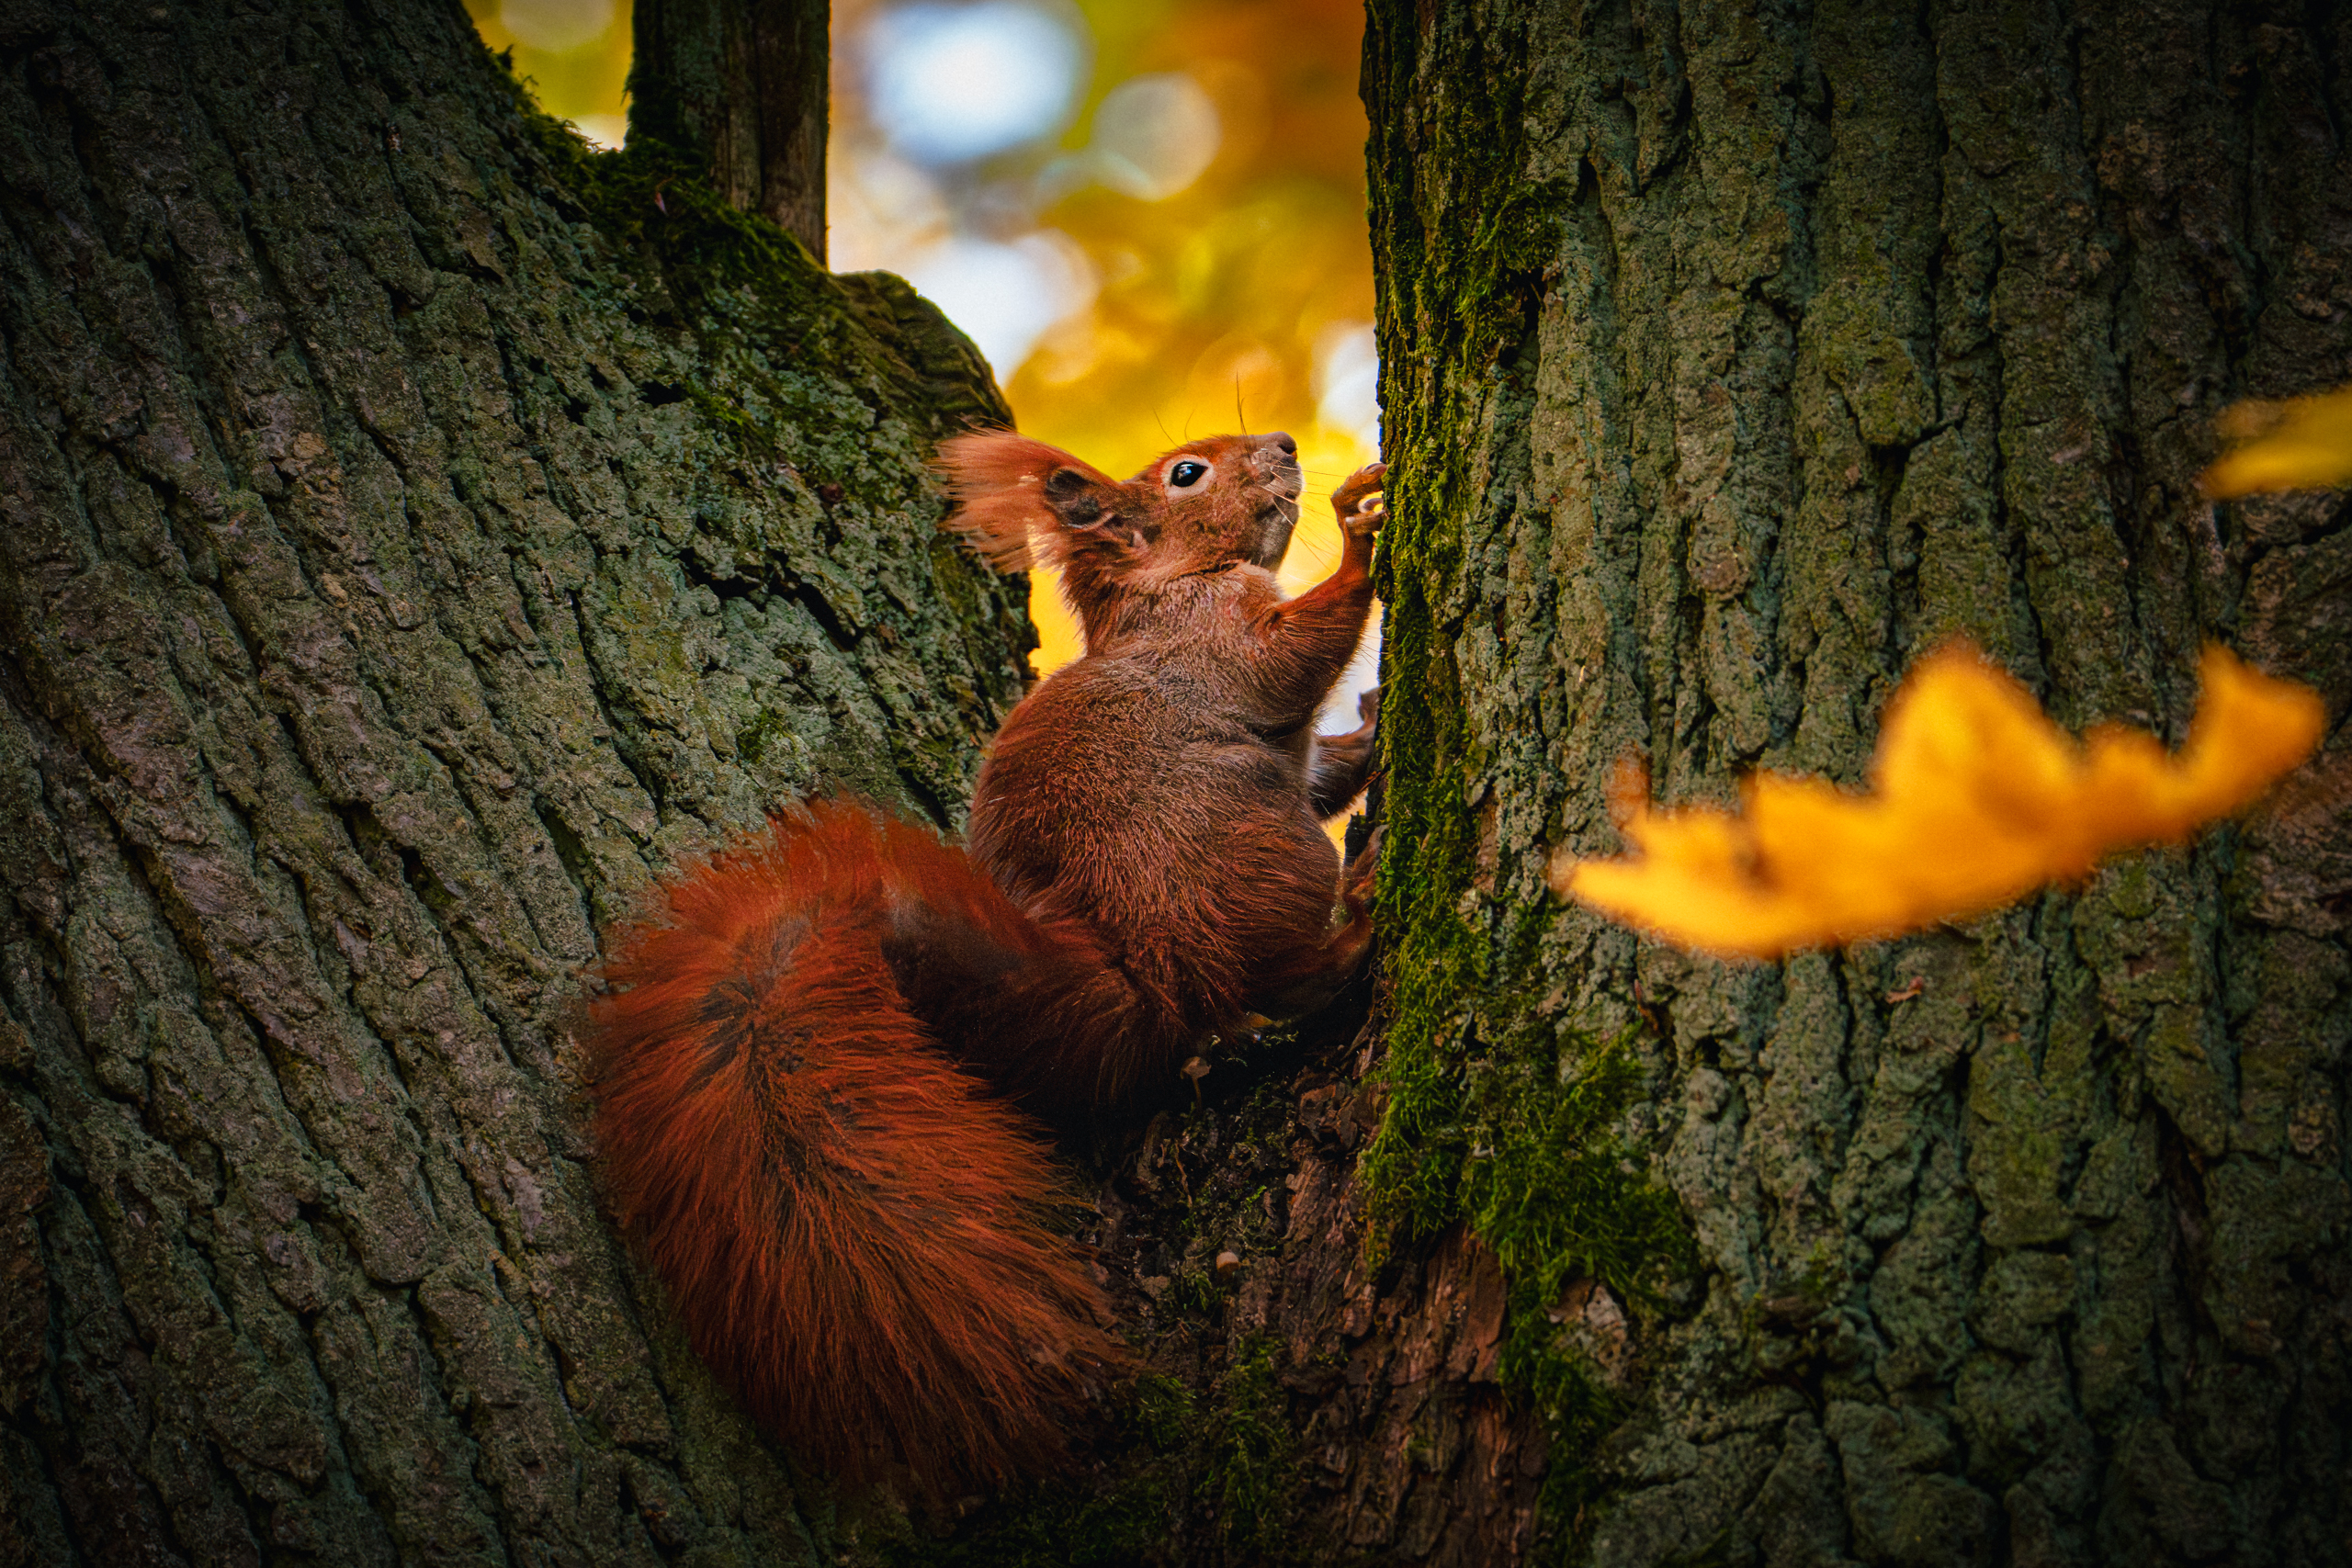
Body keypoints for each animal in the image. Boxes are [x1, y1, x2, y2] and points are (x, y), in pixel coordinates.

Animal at [585, 428, 1387, 1499]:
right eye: (1187, 473)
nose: (1286, 444)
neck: (1173, 585)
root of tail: (1149, 980)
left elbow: (1327, 763)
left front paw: (1373, 725)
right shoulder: (1213, 644)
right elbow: (1290, 657)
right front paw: (1358, 530)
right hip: (1258, 862)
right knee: (1287, 978)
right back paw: (1356, 923)